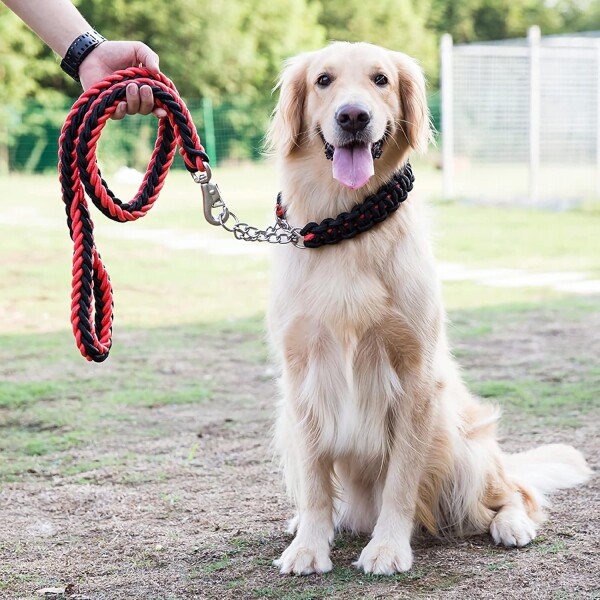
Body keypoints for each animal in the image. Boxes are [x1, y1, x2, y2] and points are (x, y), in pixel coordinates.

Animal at [264, 42, 592, 576]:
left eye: (380, 79)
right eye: (323, 80)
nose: (353, 117)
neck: (346, 225)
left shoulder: (415, 375)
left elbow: (401, 478)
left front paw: (388, 547)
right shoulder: (301, 376)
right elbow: (315, 483)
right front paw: (309, 546)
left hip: (458, 438)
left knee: (515, 492)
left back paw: (512, 525)